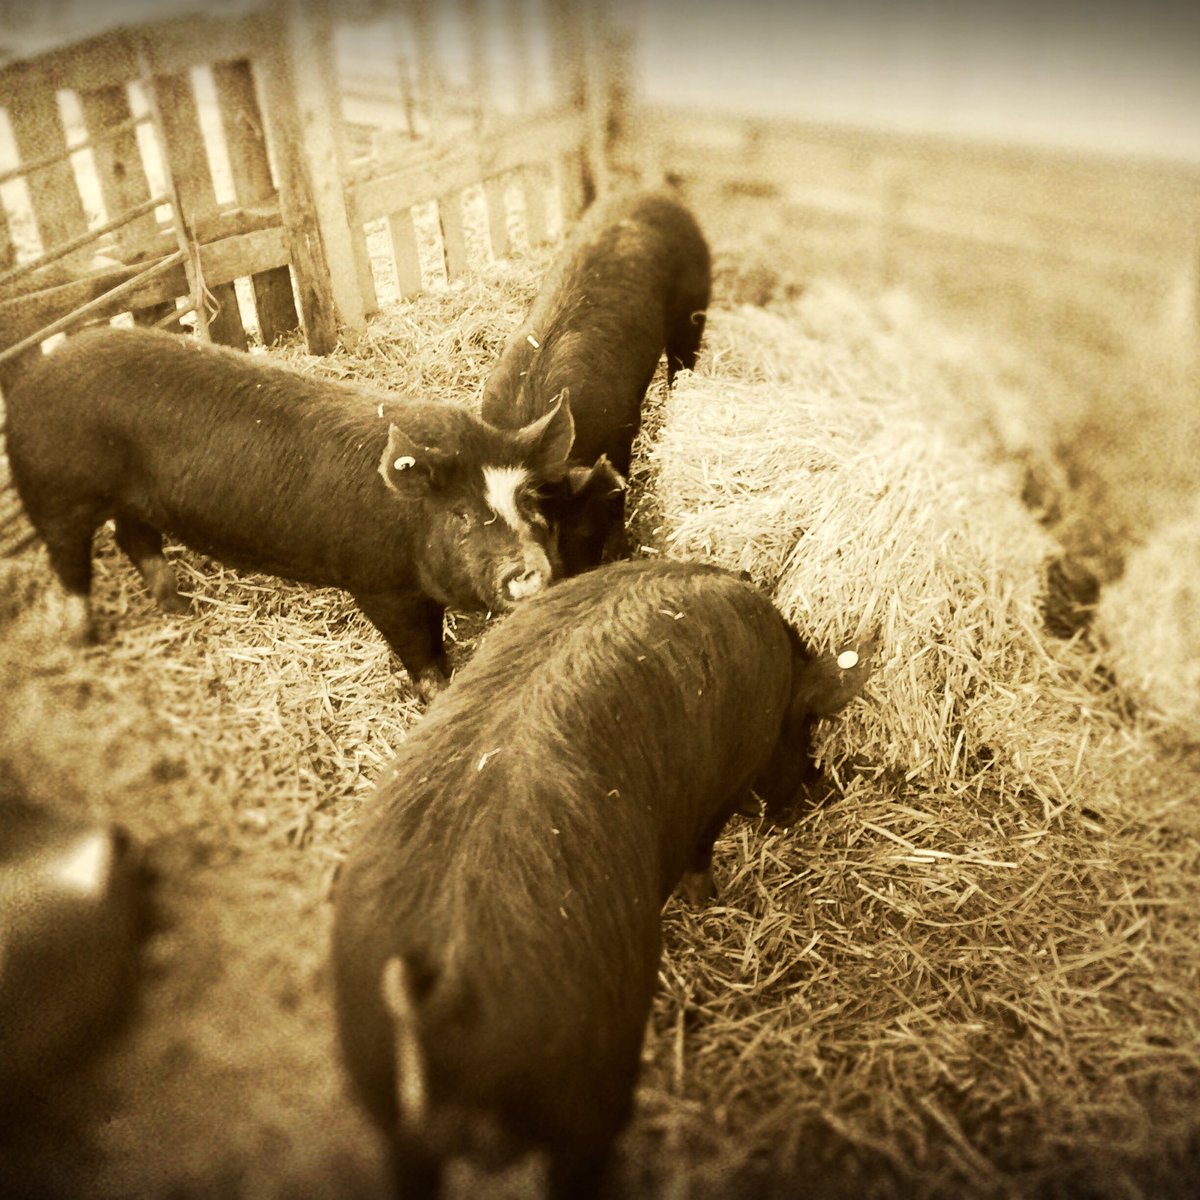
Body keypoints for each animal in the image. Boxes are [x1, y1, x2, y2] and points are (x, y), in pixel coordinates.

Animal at [3, 326, 575, 697]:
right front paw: (437, 695)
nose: (529, 567)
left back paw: (178, 608)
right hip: (59, 495)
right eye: (459, 514)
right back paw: (83, 641)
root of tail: (31, 381)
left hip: (131, 497)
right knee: (70, 563)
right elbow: (420, 652)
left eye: (526, 499)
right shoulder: (378, 586)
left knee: (134, 538)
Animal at [330, 558, 872, 1198]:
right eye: (806, 721)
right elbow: (701, 849)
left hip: (385, 1102)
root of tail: (441, 994)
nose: (816, 789)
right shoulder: (721, 788)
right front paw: (709, 899)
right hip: (586, 1087)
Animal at [481, 189, 711, 576]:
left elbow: (619, 489)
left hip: (694, 304)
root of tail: (653, 194)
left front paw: (621, 548)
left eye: (582, 529)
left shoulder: (622, 428)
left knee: (683, 360)